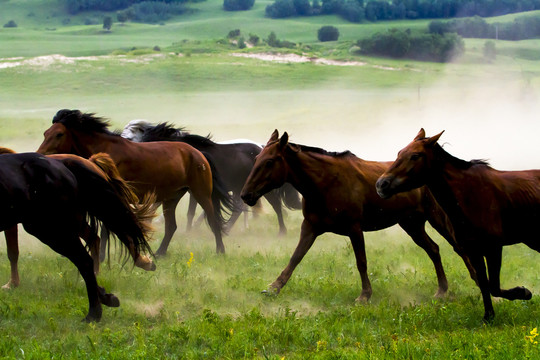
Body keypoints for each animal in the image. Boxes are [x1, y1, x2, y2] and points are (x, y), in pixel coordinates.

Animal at [0, 150, 155, 322]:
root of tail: (61, 164)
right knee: (93, 244)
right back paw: (106, 297)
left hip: (52, 229)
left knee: (85, 260)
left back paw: (93, 314)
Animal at [35, 109, 234, 256]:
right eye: (45, 133)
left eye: (59, 134)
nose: (40, 155)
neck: (105, 152)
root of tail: (198, 154)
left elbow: (107, 229)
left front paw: (102, 257)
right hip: (171, 198)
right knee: (171, 226)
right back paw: (159, 254)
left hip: (201, 193)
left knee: (213, 220)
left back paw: (220, 251)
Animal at [122, 119, 302, 235]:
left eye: (130, 136)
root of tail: (262, 148)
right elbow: (187, 211)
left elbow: (189, 211)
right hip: (240, 188)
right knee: (239, 208)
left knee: (275, 205)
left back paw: (281, 231)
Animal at [240, 131, 472, 302]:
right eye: (257, 158)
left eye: (270, 161)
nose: (246, 195)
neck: (324, 183)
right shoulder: (310, 227)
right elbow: (295, 257)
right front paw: (274, 287)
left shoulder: (354, 228)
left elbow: (361, 261)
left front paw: (365, 295)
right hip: (411, 224)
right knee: (433, 249)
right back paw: (442, 289)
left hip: (437, 218)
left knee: (458, 247)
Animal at [376, 129, 540, 320]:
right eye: (399, 153)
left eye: (415, 155)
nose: (381, 184)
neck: (468, 195)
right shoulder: (473, 249)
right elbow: (484, 283)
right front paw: (488, 316)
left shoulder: (493, 247)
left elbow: (493, 286)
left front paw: (524, 292)